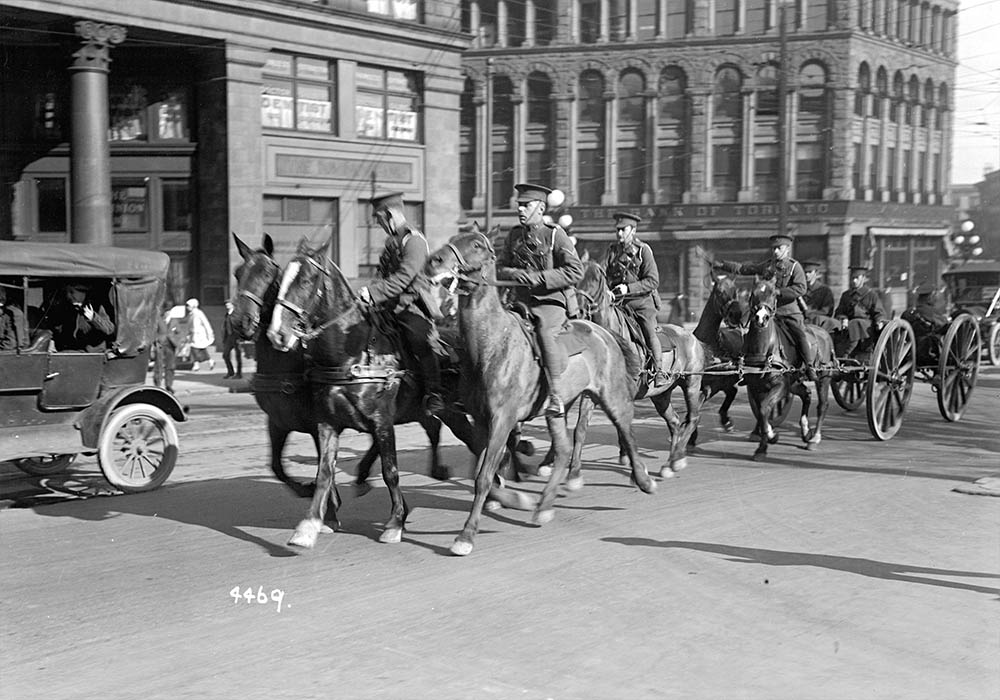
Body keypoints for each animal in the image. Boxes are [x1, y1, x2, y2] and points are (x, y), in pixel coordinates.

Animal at [266, 235, 484, 548]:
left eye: (306, 280)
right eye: (281, 279)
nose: (277, 334)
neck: (350, 353)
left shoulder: (382, 421)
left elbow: (390, 471)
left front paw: (395, 522)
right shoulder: (327, 422)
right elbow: (324, 472)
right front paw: (309, 526)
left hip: (452, 411)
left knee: (477, 442)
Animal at [426, 227, 660, 556]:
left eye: (476, 244)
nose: (433, 261)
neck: (491, 345)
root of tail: (603, 331)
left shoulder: (503, 421)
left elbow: (484, 477)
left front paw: (466, 535)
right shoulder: (482, 421)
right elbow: (483, 475)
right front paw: (515, 499)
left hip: (610, 396)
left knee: (626, 429)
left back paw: (644, 480)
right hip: (557, 410)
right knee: (562, 450)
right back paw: (544, 506)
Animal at [568, 260, 708, 478]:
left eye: (593, 278)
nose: (577, 310)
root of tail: (692, 337)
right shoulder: (591, 394)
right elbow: (581, 428)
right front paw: (573, 470)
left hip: (691, 384)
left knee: (692, 418)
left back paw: (674, 460)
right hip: (661, 395)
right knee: (675, 422)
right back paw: (671, 461)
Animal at [744, 276, 836, 462]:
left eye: (774, 294)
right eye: (753, 294)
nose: (761, 318)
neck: (764, 348)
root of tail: (825, 332)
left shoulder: (780, 386)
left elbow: (764, 409)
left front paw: (768, 440)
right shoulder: (755, 386)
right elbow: (761, 413)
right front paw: (764, 443)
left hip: (823, 378)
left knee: (822, 404)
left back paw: (814, 438)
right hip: (794, 382)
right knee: (806, 394)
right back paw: (806, 431)